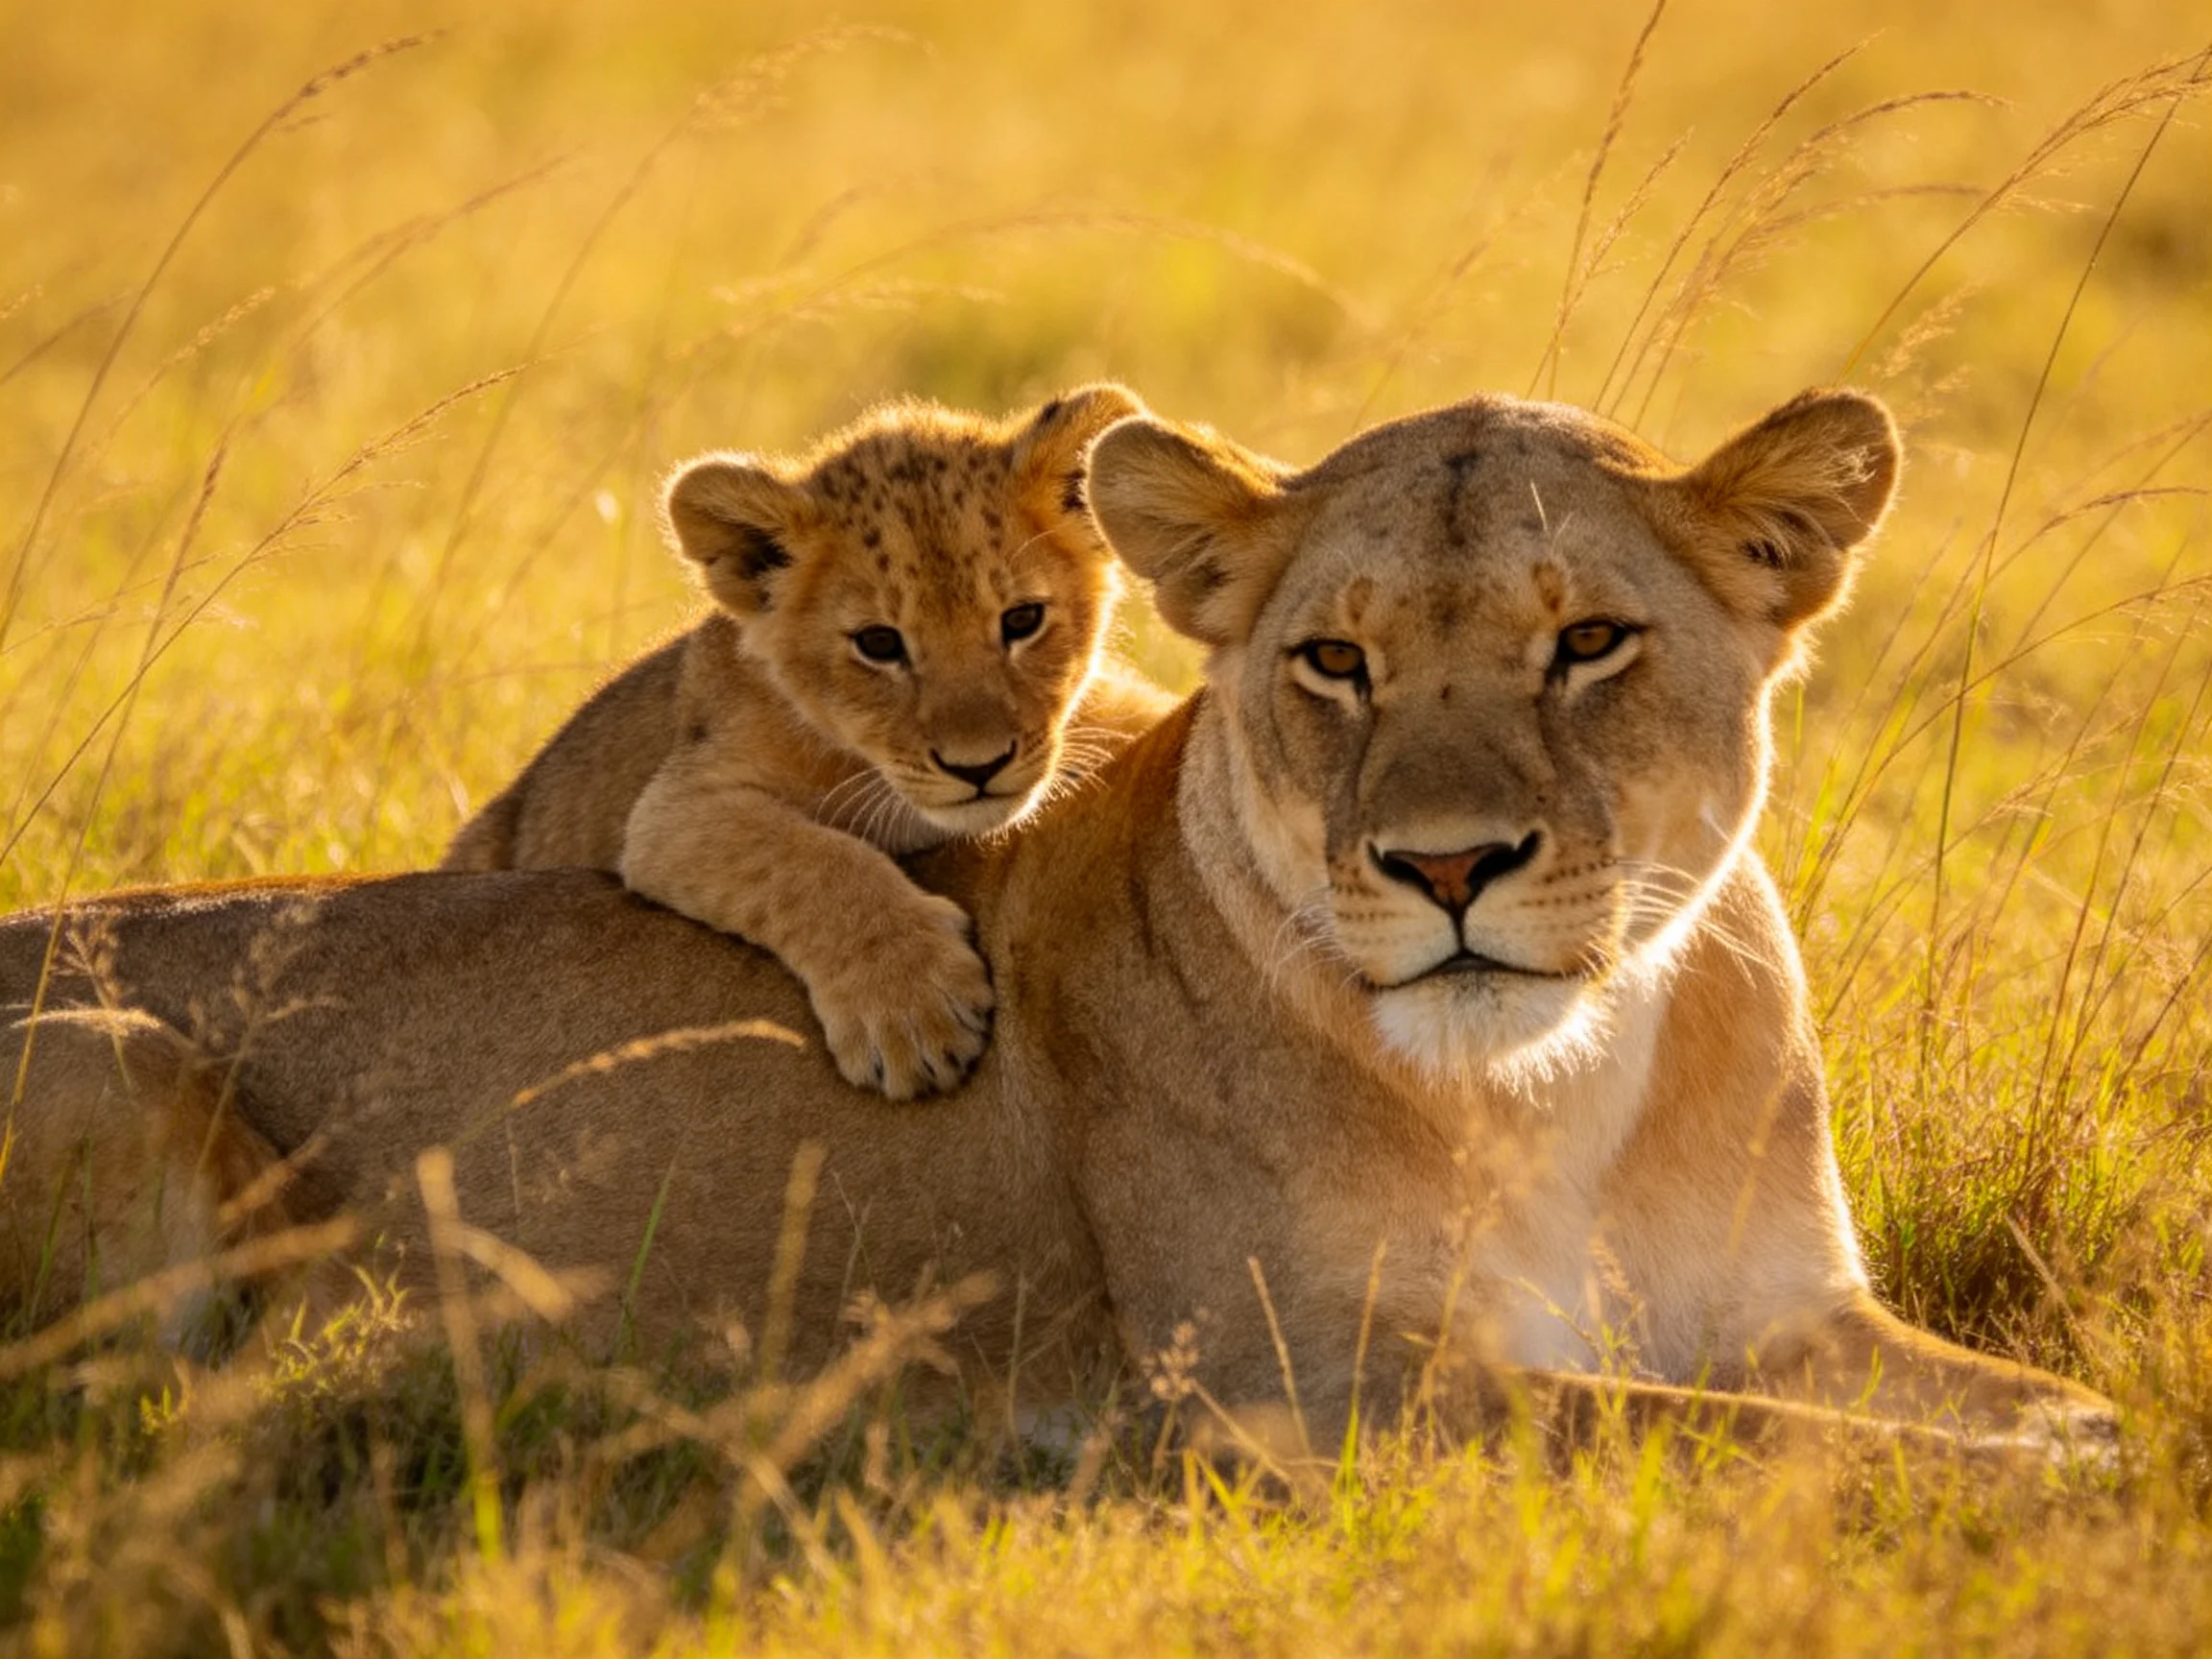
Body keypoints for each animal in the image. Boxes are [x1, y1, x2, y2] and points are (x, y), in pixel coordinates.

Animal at [442, 386, 1172, 1100]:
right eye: (879, 643)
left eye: (1022, 620)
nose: (980, 766)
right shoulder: (676, 809)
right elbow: (815, 861)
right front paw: (914, 1016)